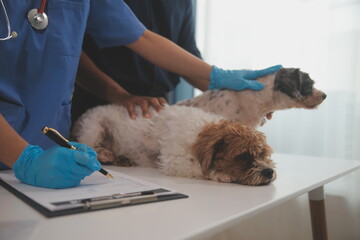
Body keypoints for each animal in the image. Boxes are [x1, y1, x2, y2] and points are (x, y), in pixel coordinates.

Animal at [73, 104, 276, 186]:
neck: (200, 133)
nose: (269, 172)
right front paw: (220, 174)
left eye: (263, 154)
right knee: (86, 146)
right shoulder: (174, 162)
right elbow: (202, 169)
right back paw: (104, 154)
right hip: (94, 128)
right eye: (244, 155)